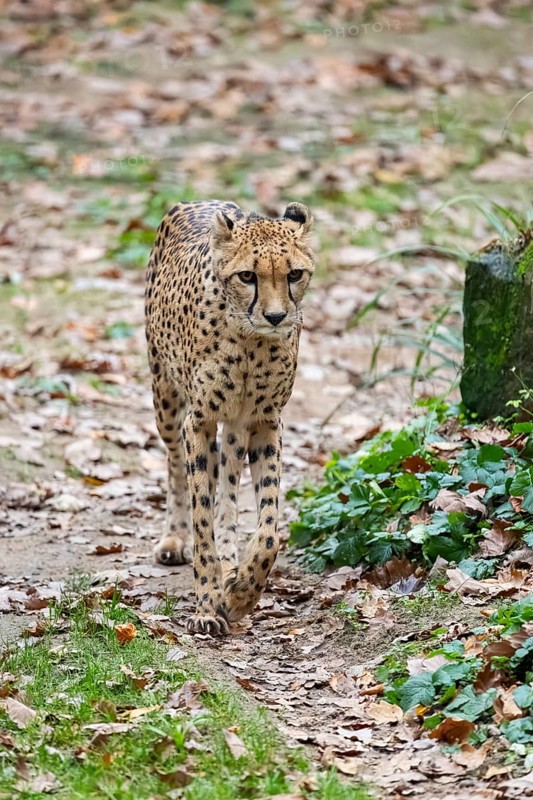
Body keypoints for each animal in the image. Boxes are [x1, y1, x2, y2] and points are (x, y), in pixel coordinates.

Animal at [145, 199, 314, 635]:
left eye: (294, 274)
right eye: (247, 276)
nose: (276, 317)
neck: (252, 342)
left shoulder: (265, 422)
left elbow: (269, 529)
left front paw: (240, 595)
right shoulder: (199, 420)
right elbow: (201, 517)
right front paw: (207, 605)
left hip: (236, 428)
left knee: (229, 481)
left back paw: (231, 560)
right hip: (165, 398)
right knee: (175, 464)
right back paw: (174, 539)